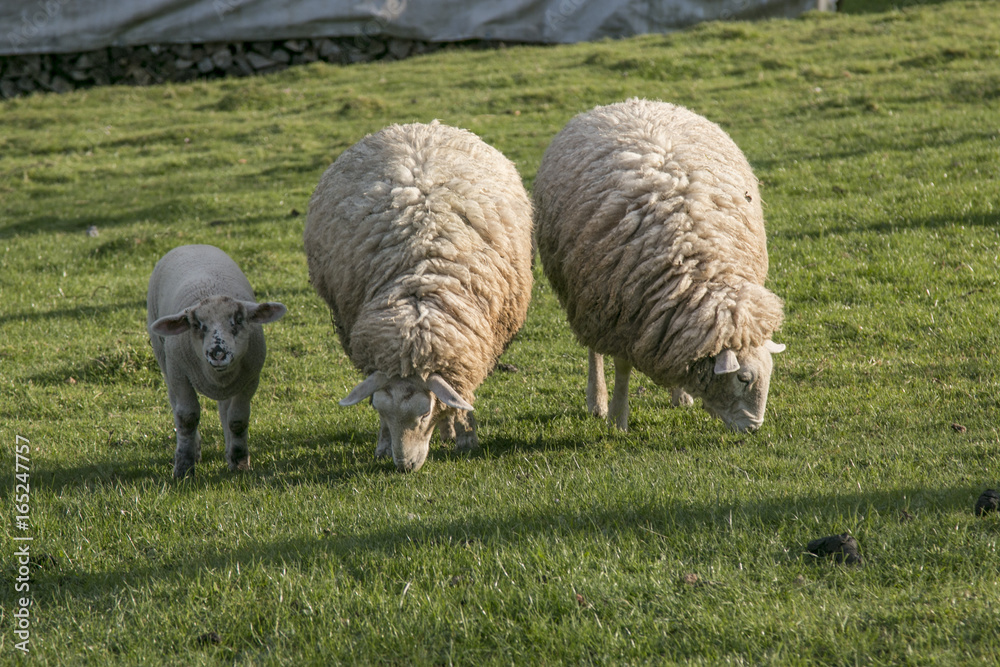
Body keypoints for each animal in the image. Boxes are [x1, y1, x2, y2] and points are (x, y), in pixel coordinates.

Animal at [147, 244, 287, 478]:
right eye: (196, 325)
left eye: (238, 320)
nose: (218, 353)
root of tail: (192, 245)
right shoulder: (179, 374)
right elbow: (187, 418)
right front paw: (183, 468)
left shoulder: (250, 379)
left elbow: (237, 420)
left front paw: (239, 462)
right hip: (164, 361)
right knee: (175, 405)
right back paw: (194, 450)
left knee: (224, 410)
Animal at [304, 121, 533, 472]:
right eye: (379, 410)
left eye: (424, 413)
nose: (404, 466)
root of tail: (419, 128)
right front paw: (384, 445)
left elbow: (460, 400)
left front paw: (464, 436)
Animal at [533, 98, 785, 432]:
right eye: (744, 378)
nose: (754, 428)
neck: (697, 269)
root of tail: (629, 102)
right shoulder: (619, 312)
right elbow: (622, 367)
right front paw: (618, 418)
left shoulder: (663, 319)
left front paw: (680, 394)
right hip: (587, 297)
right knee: (593, 351)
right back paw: (596, 400)